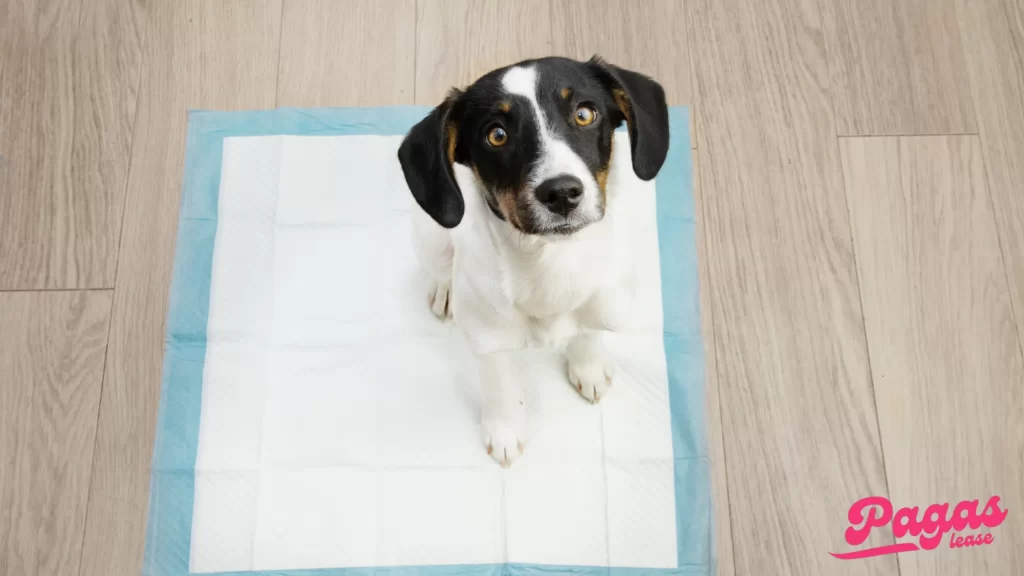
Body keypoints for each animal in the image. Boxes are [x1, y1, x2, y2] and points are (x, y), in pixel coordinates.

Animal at [395, 54, 667, 467]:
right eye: (496, 135)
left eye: (585, 114)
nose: (561, 193)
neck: (551, 263)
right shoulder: (489, 337)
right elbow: (500, 384)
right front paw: (504, 432)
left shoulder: (605, 300)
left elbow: (589, 331)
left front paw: (588, 368)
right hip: (432, 236)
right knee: (440, 267)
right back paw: (445, 291)